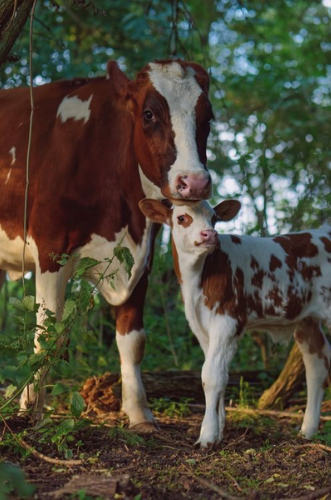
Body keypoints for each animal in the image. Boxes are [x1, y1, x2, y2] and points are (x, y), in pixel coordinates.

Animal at [0, 57, 213, 426]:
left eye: (209, 116)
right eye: (148, 114)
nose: (195, 182)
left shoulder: (142, 254)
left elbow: (133, 338)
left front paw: (139, 413)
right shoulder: (50, 248)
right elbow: (48, 334)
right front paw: (31, 409)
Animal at [140, 197, 331, 448]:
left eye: (214, 218)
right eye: (182, 218)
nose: (210, 234)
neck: (196, 281)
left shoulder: (228, 320)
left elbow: (211, 375)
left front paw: (207, 435)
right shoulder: (201, 327)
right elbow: (218, 373)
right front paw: (219, 429)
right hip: (307, 320)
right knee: (317, 365)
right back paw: (307, 431)